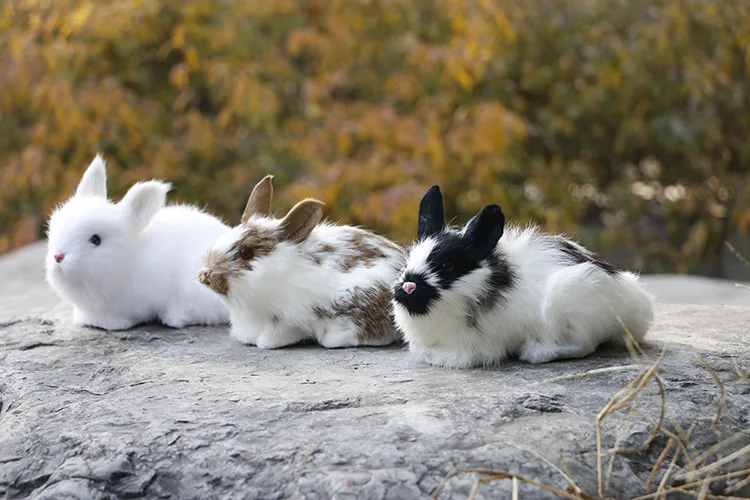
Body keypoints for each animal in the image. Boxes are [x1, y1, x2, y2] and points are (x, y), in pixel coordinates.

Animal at [391, 185, 655, 369]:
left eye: (447, 266)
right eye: (407, 259)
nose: (408, 286)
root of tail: (636, 301)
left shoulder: (479, 344)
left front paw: (437, 358)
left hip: (570, 296)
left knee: (584, 345)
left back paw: (536, 352)